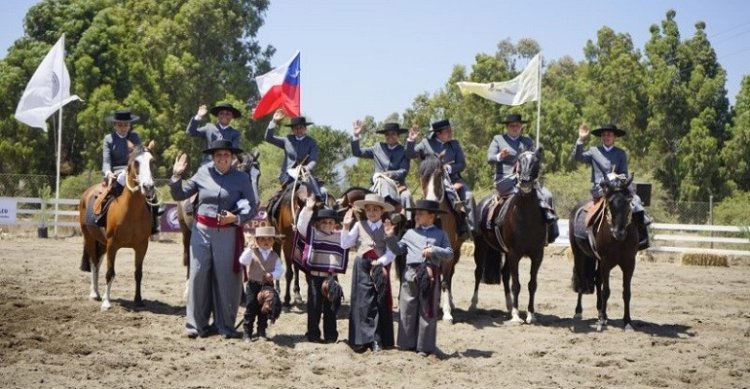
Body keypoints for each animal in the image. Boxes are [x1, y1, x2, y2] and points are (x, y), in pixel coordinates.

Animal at [78, 142, 158, 310]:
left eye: (152, 161)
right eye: (136, 162)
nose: (148, 186)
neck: (131, 210)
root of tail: (87, 193)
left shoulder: (142, 246)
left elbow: (138, 273)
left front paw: (138, 300)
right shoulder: (112, 245)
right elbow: (110, 272)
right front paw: (106, 303)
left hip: (101, 243)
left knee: (98, 262)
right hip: (90, 238)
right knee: (94, 264)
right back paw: (95, 293)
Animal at [176, 151, 262, 298]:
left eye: (259, 175)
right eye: (244, 172)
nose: (255, 203)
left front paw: (242, 294)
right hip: (186, 232)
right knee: (188, 257)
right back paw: (187, 290)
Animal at [420, 152, 468, 322]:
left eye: (440, 173)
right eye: (422, 173)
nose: (431, 201)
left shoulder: (448, 252)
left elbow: (446, 281)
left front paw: (447, 312)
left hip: (456, 252)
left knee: (450, 275)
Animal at [472, 147, 548, 322]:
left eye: (536, 162)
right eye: (519, 160)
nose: (525, 181)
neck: (526, 218)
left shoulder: (537, 255)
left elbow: (532, 284)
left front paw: (531, 314)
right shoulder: (514, 254)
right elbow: (516, 284)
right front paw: (516, 315)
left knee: (505, 274)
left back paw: (508, 305)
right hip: (481, 247)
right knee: (478, 272)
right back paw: (473, 304)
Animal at [568, 173, 640, 330]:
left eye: (628, 201)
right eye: (610, 203)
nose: (619, 233)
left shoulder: (629, 263)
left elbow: (626, 292)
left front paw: (627, 321)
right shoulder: (606, 262)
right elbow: (606, 290)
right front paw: (601, 321)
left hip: (598, 260)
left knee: (597, 280)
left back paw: (601, 312)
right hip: (579, 254)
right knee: (582, 281)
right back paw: (579, 312)